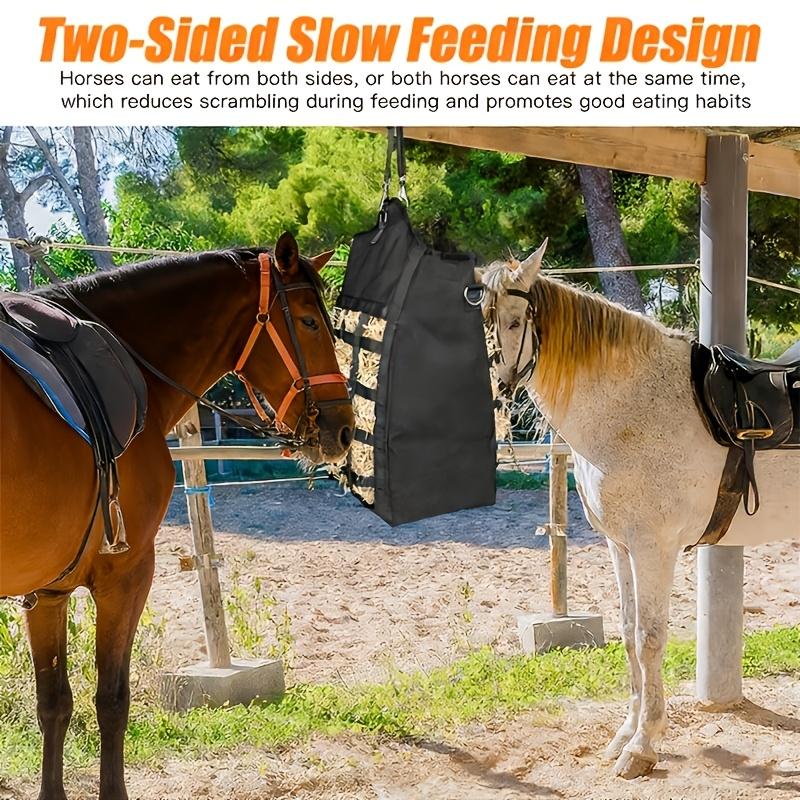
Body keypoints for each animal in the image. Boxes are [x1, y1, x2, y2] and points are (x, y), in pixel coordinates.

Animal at [0, 232, 353, 800]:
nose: (343, 426)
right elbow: (112, 701)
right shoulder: (127, 574)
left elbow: (54, 704)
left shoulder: (48, 589)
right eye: (309, 322)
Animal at [478, 241, 799, 780]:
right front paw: (625, 734)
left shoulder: (654, 548)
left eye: (517, 320)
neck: (630, 405)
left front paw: (644, 746)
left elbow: (650, 639)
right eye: (482, 317)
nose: (491, 390)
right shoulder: (621, 545)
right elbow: (629, 635)